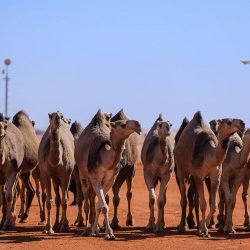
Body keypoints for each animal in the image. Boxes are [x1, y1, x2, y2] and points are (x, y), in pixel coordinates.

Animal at [74, 110, 141, 240]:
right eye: (122, 125)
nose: (138, 124)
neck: (105, 161)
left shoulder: (110, 180)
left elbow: (100, 204)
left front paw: (98, 231)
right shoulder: (95, 178)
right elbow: (104, 206)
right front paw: (109, 233)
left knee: (93, 200)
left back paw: (94, 229)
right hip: (82, 174)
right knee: (86, 201)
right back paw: (85, 230)